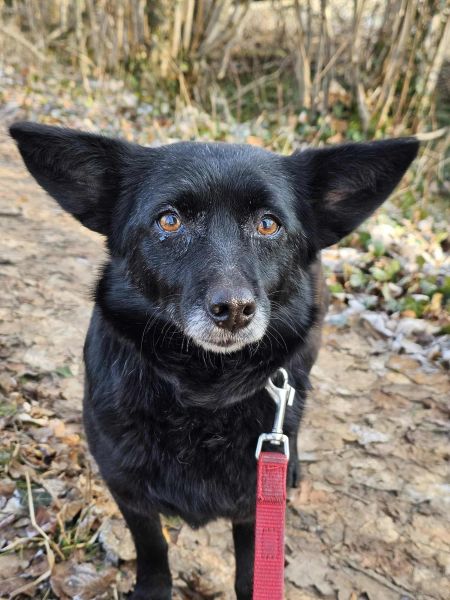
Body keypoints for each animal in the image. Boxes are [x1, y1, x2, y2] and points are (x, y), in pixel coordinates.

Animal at [10, 121, 418, 599]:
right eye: (169, 220)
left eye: (268, 224)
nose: (235, 309)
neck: (203, 389)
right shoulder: (128, 492)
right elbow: (153, 548)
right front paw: (153, 589)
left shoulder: (253, 504)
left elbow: (250, 571)